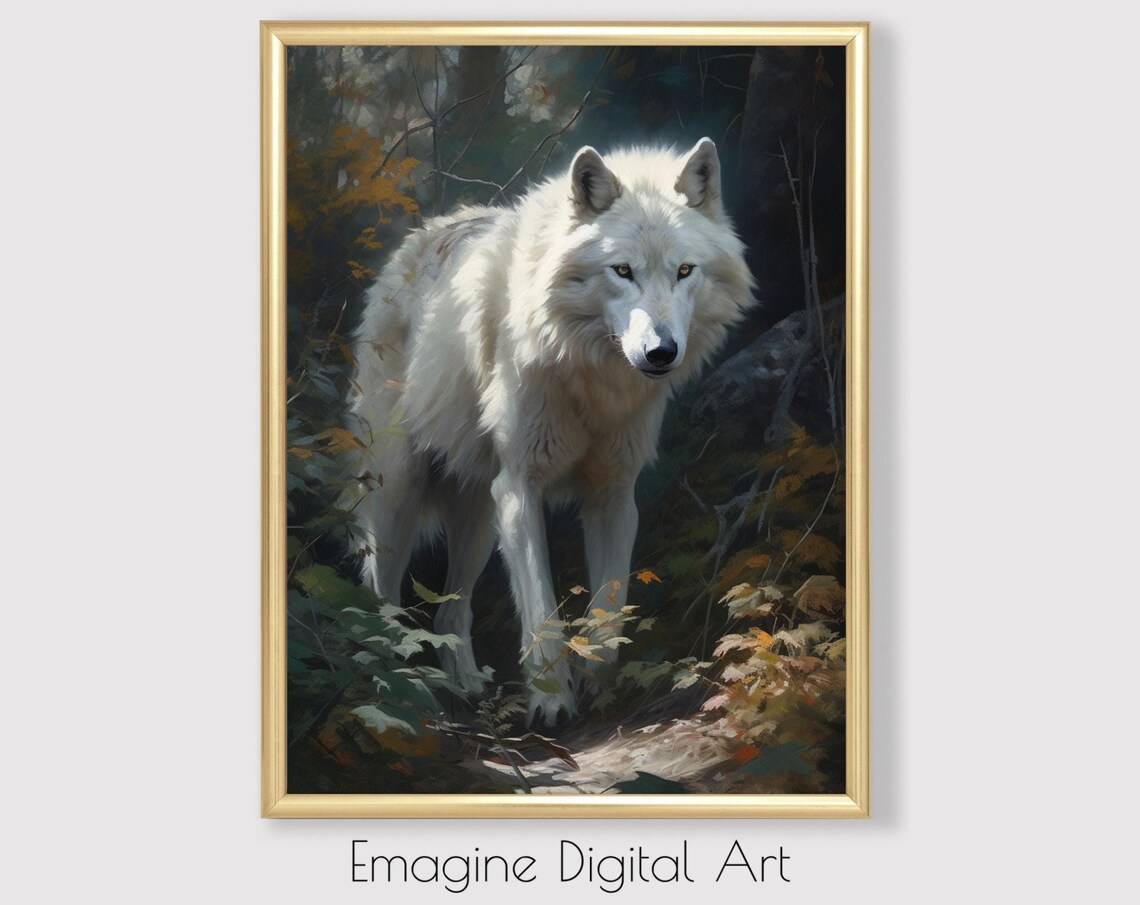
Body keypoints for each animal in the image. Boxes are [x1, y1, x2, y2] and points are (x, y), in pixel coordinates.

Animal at [348, 138, 754, 724]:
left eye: (684, 271)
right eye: (622, 270)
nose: (660, 352)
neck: (588, 377)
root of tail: (425, 234)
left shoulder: (613, 494)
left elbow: (609, 605)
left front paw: (599, 686)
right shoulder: (520, 488)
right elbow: (541, 609)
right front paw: (551, 702)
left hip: (479, 516)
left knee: (451, 613)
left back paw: (466, 683)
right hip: (401, 494)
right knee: (380, 590)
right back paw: (393, 682)